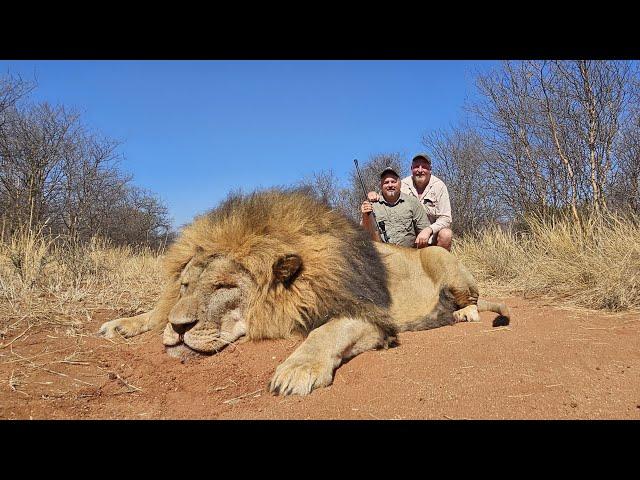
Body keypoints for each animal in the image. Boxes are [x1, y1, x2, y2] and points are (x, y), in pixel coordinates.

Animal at [99, 189, 510, 396]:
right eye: (185, 285)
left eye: (224, 287)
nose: (180, 328)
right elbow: (155, 310)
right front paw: (124, 323)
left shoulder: (368, 313)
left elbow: (325, 332)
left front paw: (296, 370)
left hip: (440, 256)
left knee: (471, 298)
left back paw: (463, 312)